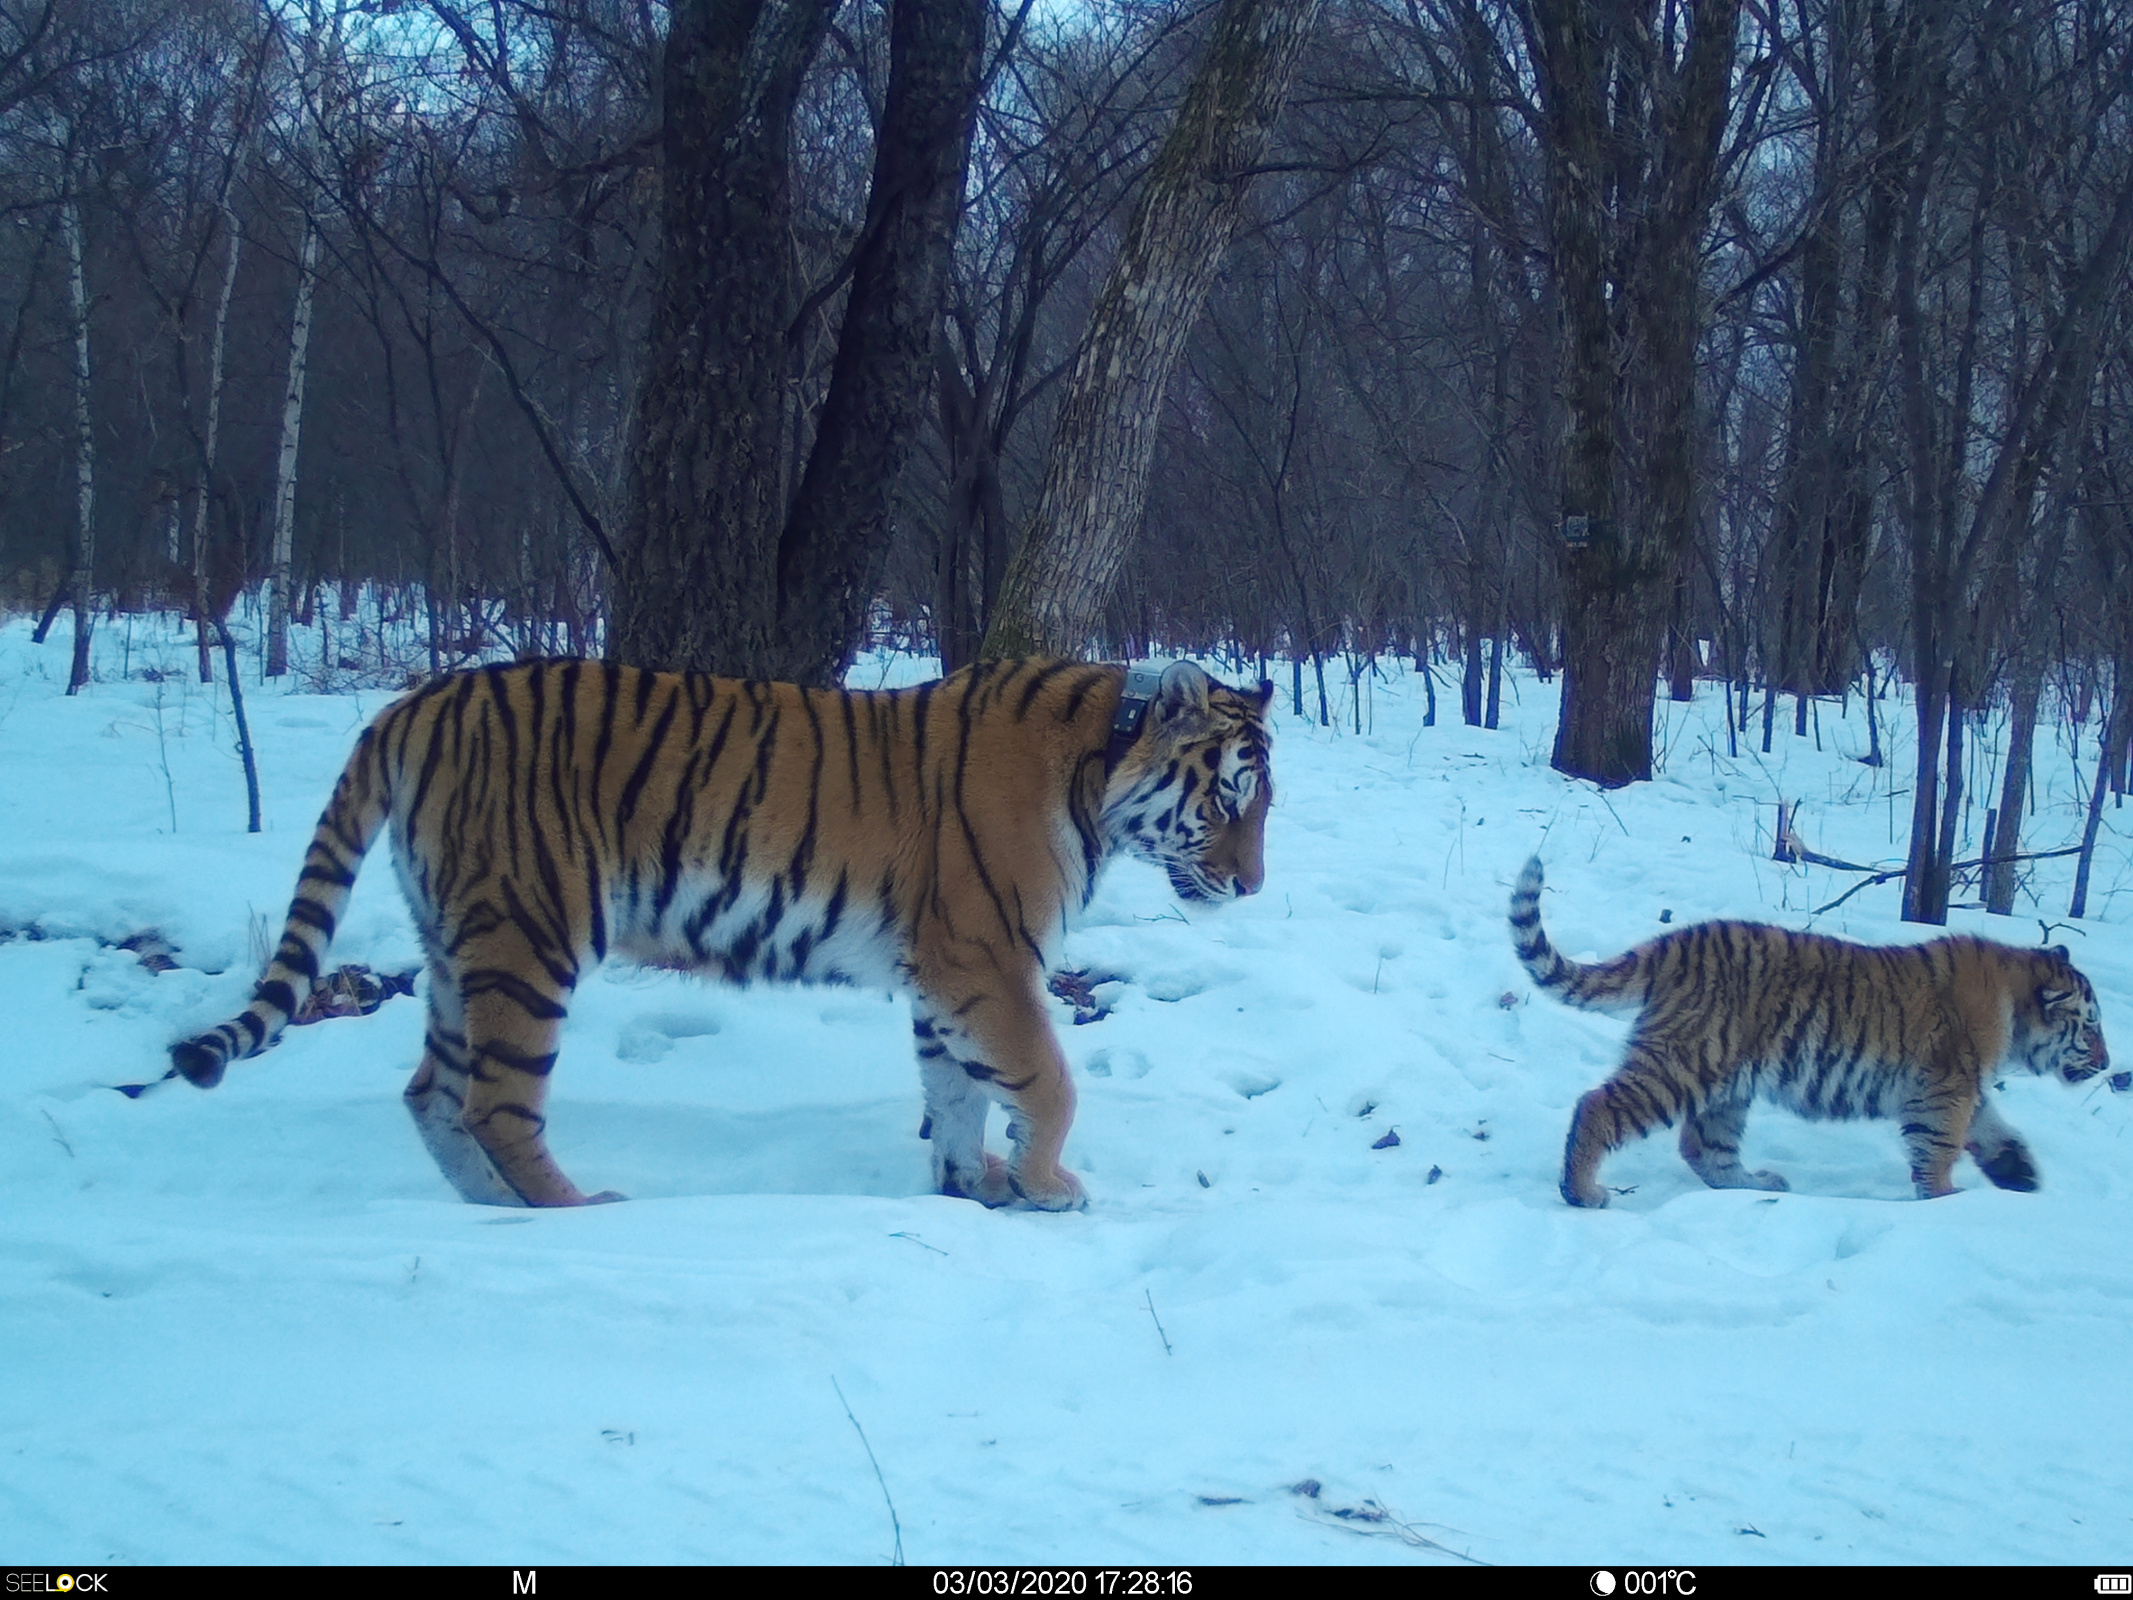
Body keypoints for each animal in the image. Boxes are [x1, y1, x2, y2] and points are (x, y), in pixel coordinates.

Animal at [170, 657, 1262, 1211]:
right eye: (1230, 797)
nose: (1252, 886)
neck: (1099, 771)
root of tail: (414, 702)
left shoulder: (940, 974)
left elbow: (954, 1091)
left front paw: (971, 1187)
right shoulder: (985, 958)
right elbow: (1044, 1078)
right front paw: (1045, 1183)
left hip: (456, 946)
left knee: (431, 1093)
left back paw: (494, 1212)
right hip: (530, 935)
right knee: (495, 1103)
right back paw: (574, 1212)